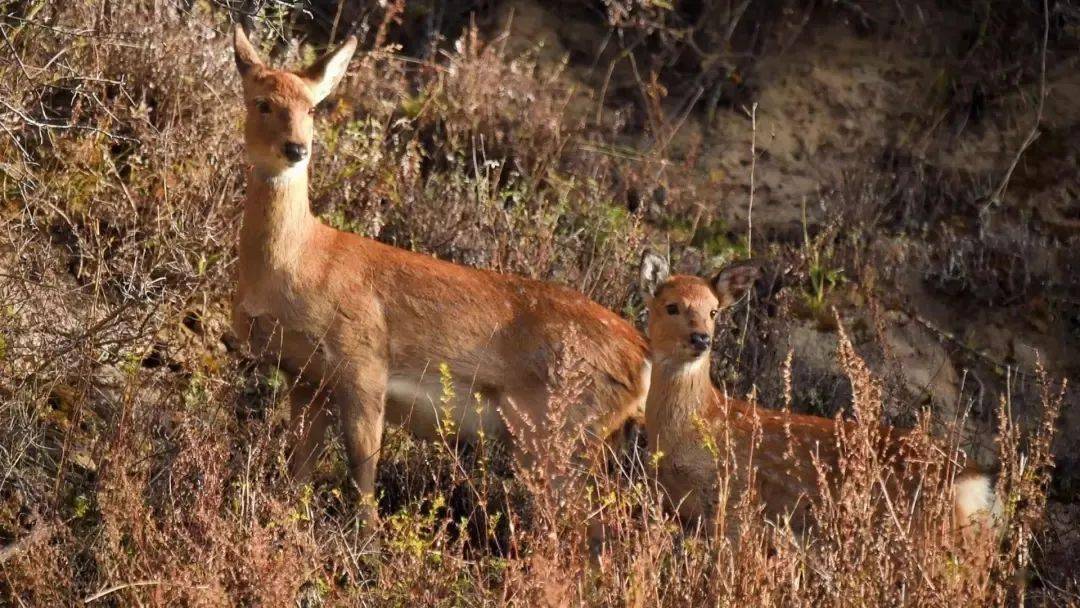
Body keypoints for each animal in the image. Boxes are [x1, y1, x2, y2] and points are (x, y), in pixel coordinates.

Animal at [230, 26, 648, 524]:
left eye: (312, 107)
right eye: (262, 102)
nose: (296, 148)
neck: (300, 262)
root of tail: (642, 358)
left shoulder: (364, 361)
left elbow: (363, 472)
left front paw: (365, 538)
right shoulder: (305, 376)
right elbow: (300, 468)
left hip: (556, 431)